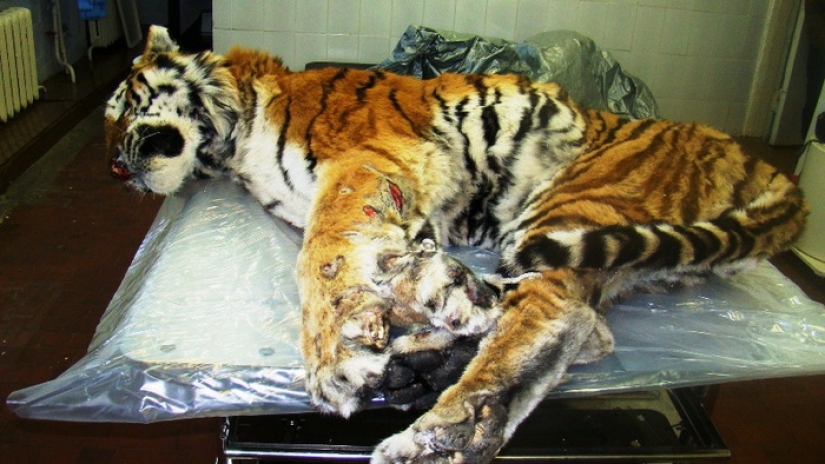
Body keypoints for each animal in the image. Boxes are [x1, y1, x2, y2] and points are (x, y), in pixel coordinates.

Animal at [106, 26, 807, 464]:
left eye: (124, 107)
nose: (113, 167)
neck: (235, 132)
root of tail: (746, 154)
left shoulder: (366, 164)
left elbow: (322, 258)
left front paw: (335, 357)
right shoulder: (401, 211)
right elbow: (392, 264)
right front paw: (422, 303)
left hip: (566, 213)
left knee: (548, 319)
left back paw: (433, 430)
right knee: (583, 328)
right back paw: (440, 359)